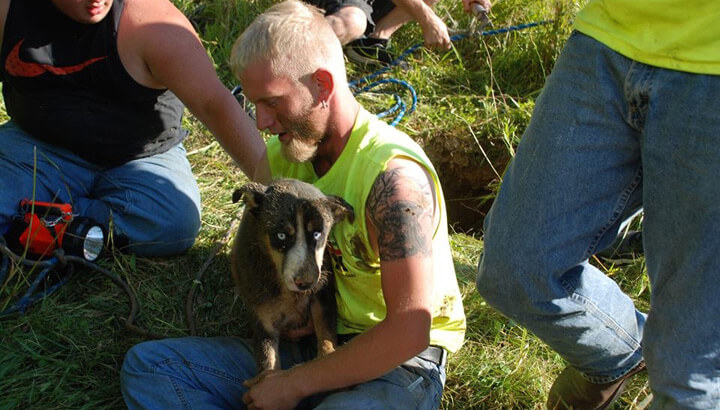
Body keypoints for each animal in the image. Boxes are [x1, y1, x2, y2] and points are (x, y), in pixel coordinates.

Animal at [231, 179, 354, 372]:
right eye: (281, 235)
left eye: (317, 234)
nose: (306, 282)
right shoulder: (263, 319)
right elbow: (268, 365)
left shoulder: (323, 298)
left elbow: (326, 341)